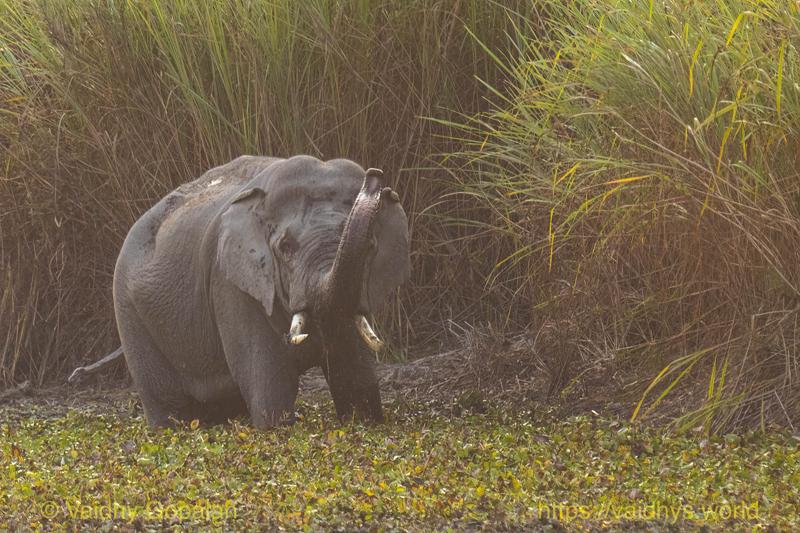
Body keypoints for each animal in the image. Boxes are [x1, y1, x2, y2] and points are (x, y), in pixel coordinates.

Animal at [71, 155, 410, 428]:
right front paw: (276, 427)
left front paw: (363, 419)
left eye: (370, 247)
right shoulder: (230, 285)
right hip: (128, 311)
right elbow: (271, 387)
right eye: (286, 247)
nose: (375, 176)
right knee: (167, 407)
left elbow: (354, 376)